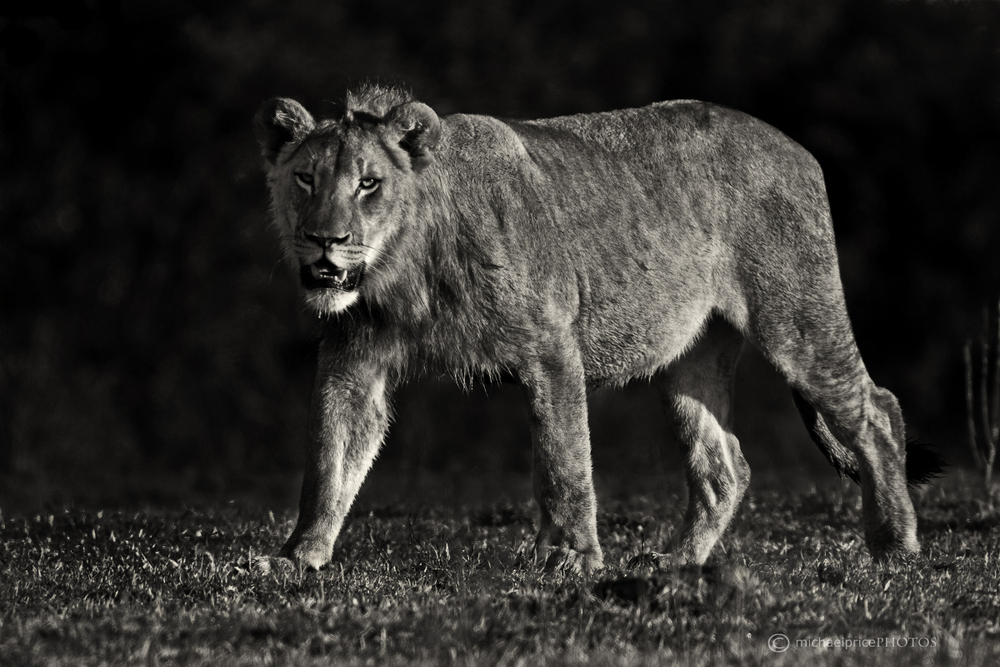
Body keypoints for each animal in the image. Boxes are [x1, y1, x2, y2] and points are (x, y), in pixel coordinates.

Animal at [254, 83, 940, 576]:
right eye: (306, 179)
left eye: (369, 183)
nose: (325, 240)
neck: (405, 272)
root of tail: (797, 148)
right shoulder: (354, 360)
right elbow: (329, 460)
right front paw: (298, 556)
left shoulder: (551, 347)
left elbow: (565, 462)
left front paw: (572, 558)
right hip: (691, 361)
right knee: (726, 464)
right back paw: (676, 563)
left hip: (796, 316)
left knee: (877, 410)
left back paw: (893, 545)